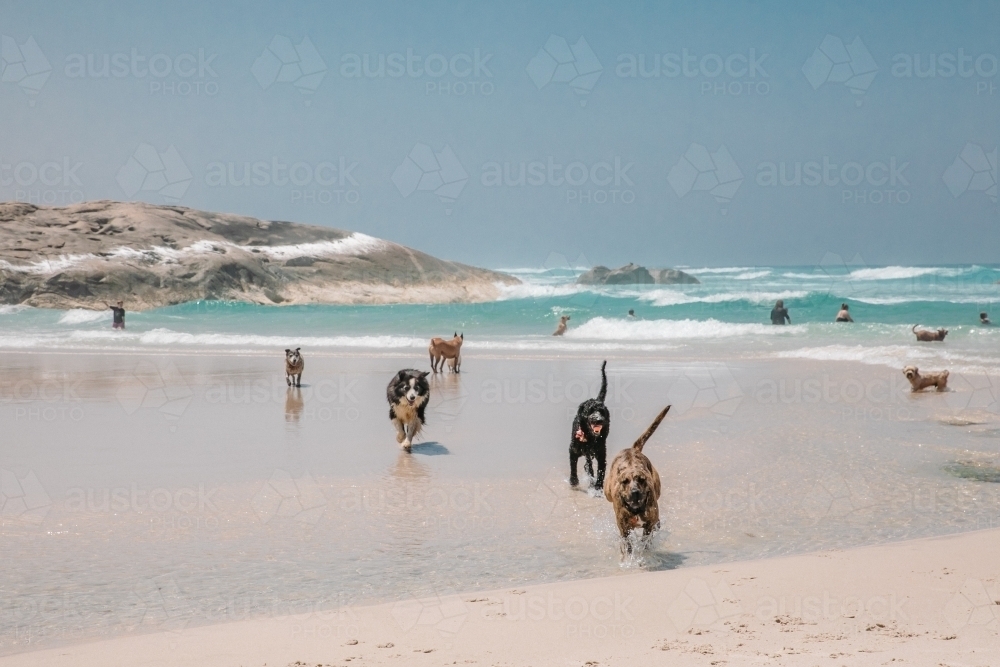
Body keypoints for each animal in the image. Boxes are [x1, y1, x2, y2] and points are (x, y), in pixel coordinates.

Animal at [572, 360, 608, 490]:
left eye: (602, 412)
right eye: (590, 410)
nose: (599, 419)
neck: (590, 437)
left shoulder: (601, 454)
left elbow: (601, 471)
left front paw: (598, 487)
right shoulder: (573, 449)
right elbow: (573, 465)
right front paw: (573, 481)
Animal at [600, 404, 672, 556]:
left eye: (641, 479)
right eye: (625, 481)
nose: (635, 492)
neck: (636, 510)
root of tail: (633, 449)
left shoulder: (649, 523)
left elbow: (646, 539)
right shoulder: (624, 528)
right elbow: (627, 545)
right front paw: (629, 556)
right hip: (607, 493)